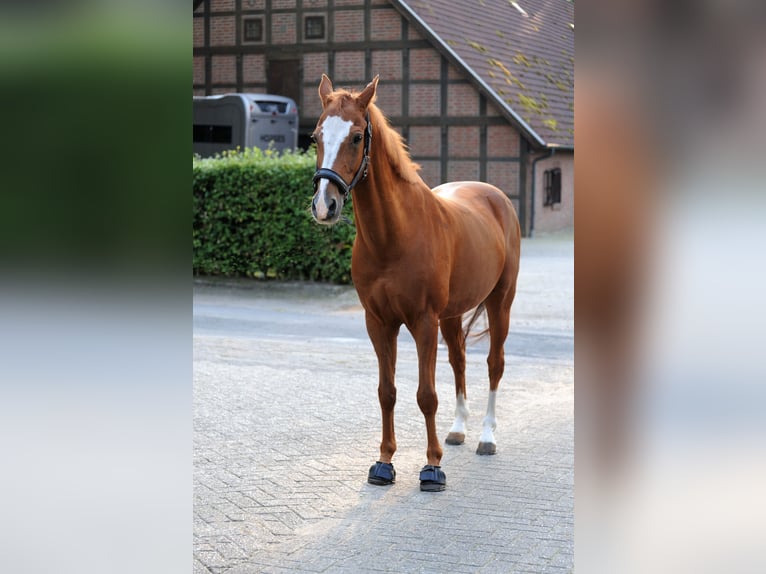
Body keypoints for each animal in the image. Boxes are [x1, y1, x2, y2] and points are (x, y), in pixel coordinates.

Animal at [312, 74, 520, 492]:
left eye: (356, 137)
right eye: (316, 136)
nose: (325, 206)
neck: (394, 235)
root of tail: (497, 198)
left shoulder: (423, 321)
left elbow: (426, 395)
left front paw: (432, 467)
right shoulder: (379, 322)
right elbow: (387, 392)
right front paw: (384, 463)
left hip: (499, 302)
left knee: (494, 364)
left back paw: (486, 436)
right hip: (452, 316)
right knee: (459, 360)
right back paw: (458, 430)